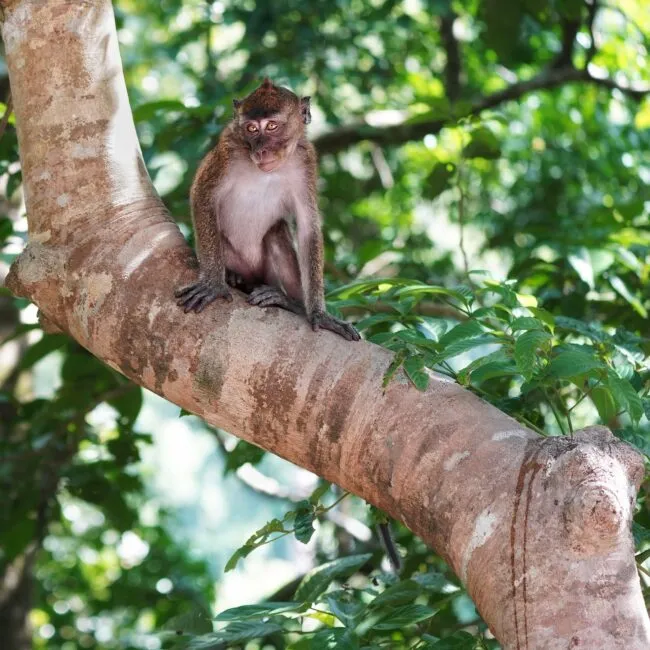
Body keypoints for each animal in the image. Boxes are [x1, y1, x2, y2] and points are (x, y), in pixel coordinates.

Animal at [175, 78, 360, 342]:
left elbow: (308, 227)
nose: (261, 150)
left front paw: (319, 314)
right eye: (252, 129)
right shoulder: (227, 149)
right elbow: (202, 196)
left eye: (272, 126)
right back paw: (233, 277)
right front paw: (213, 283)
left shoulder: (306, 160)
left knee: (277, 231)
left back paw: (291, 303)